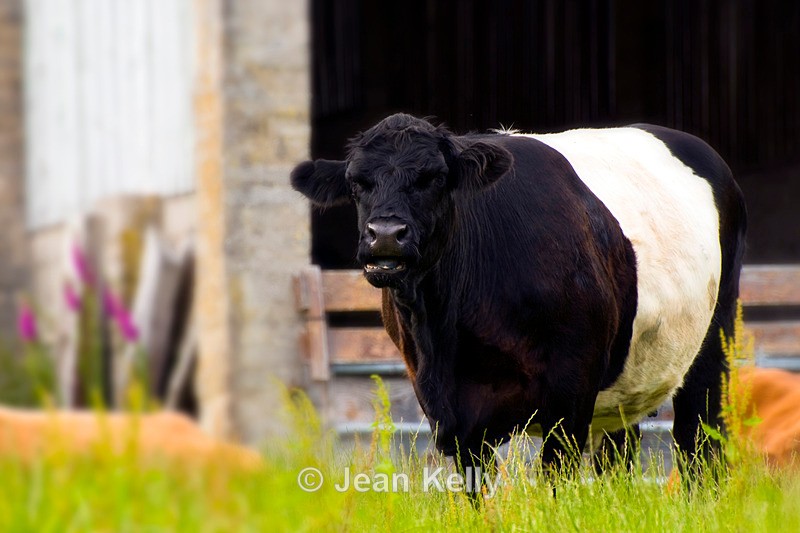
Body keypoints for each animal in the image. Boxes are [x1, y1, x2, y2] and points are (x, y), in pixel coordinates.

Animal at [291, 113, 747, 489]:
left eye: (434, 178)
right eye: (357, 183)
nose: (386, 234)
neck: (445, 330)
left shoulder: (570, 393)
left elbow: (556, 482)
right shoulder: (451, 412)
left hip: (712, 344)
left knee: (699, 446)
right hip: (627, 378)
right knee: (618, 457)